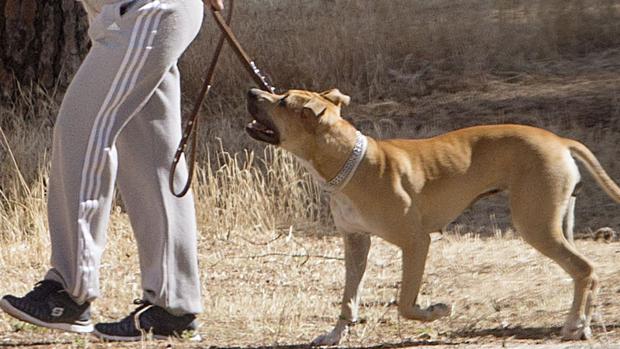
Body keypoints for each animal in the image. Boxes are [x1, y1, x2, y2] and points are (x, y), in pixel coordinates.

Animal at [246, 87, 620, 342]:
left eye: (283, 101)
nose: (252, 91)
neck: (350, 163)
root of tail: (559, 140)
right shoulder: (356, 243)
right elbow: (349, 298)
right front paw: (336, 335)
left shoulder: (416, 242)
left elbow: (404, 303)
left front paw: (437, 311)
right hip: (556, 224)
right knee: (582, 272)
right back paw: (579, 322)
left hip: (536, 225)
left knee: (585, 269)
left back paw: (576, 326)